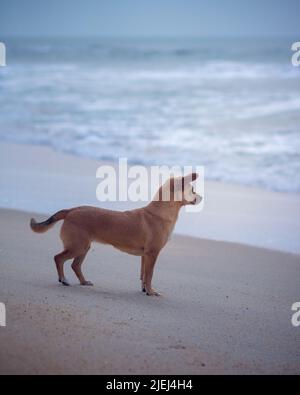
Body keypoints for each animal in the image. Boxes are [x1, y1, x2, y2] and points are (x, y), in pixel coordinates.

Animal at [30, 175, 200, 296]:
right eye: (192, 190)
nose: (201, 197)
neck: (159, 213)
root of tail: (71, 210)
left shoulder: (145, 256)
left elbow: (143, 275)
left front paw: (145, 290)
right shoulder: (153, 254)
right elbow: (150, 275)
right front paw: (151, 292)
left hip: (83, 247)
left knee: (75, 265)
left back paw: (84, 282)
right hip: (77, 247)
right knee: (58, 258)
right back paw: (63, 280)